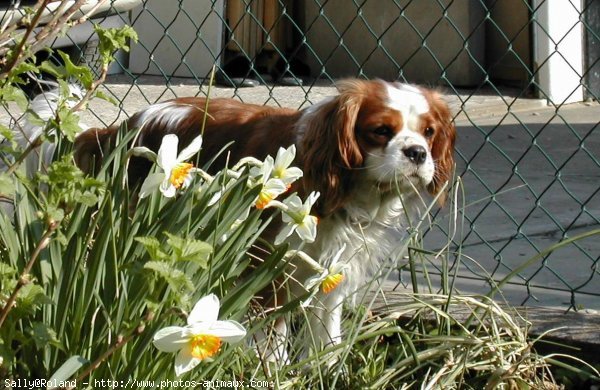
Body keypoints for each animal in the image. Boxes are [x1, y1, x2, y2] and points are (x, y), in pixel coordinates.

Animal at [72, 79, 454, 362]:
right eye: (381, 130)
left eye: (429, 132)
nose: (417, 153)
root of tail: (122, 127)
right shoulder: (268, 266)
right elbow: (275, 336)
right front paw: (275, 371)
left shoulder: (332, 269)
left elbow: (328, 335)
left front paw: (324, 371)